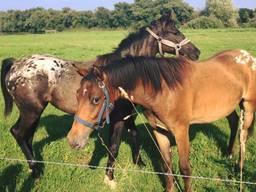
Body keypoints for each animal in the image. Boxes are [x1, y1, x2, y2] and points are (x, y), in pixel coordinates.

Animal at [1, 14, 201, 180]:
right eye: (174, 32)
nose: (196, 52)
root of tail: (16, 64)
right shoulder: (118, 119)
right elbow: (114, 147)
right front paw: (109, 177)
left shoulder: (128, 116)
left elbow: (135, 135)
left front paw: (140, 163)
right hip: (31, 111)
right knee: (18, 133)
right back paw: (35, 172)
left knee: (27, 136)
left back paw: (34, 167)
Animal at [68, 50, 256, 191]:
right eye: (77, 94)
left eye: (95, 99)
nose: (72, 140)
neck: (163, 90)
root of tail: (247, 56)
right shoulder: (159, 130)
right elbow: (167, 166)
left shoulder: (181, 132)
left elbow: (185, 168)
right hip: (228, 106)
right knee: (233, 123)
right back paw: (228, 154)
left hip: (248, 107)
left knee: (243, 138)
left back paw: (239, 171)